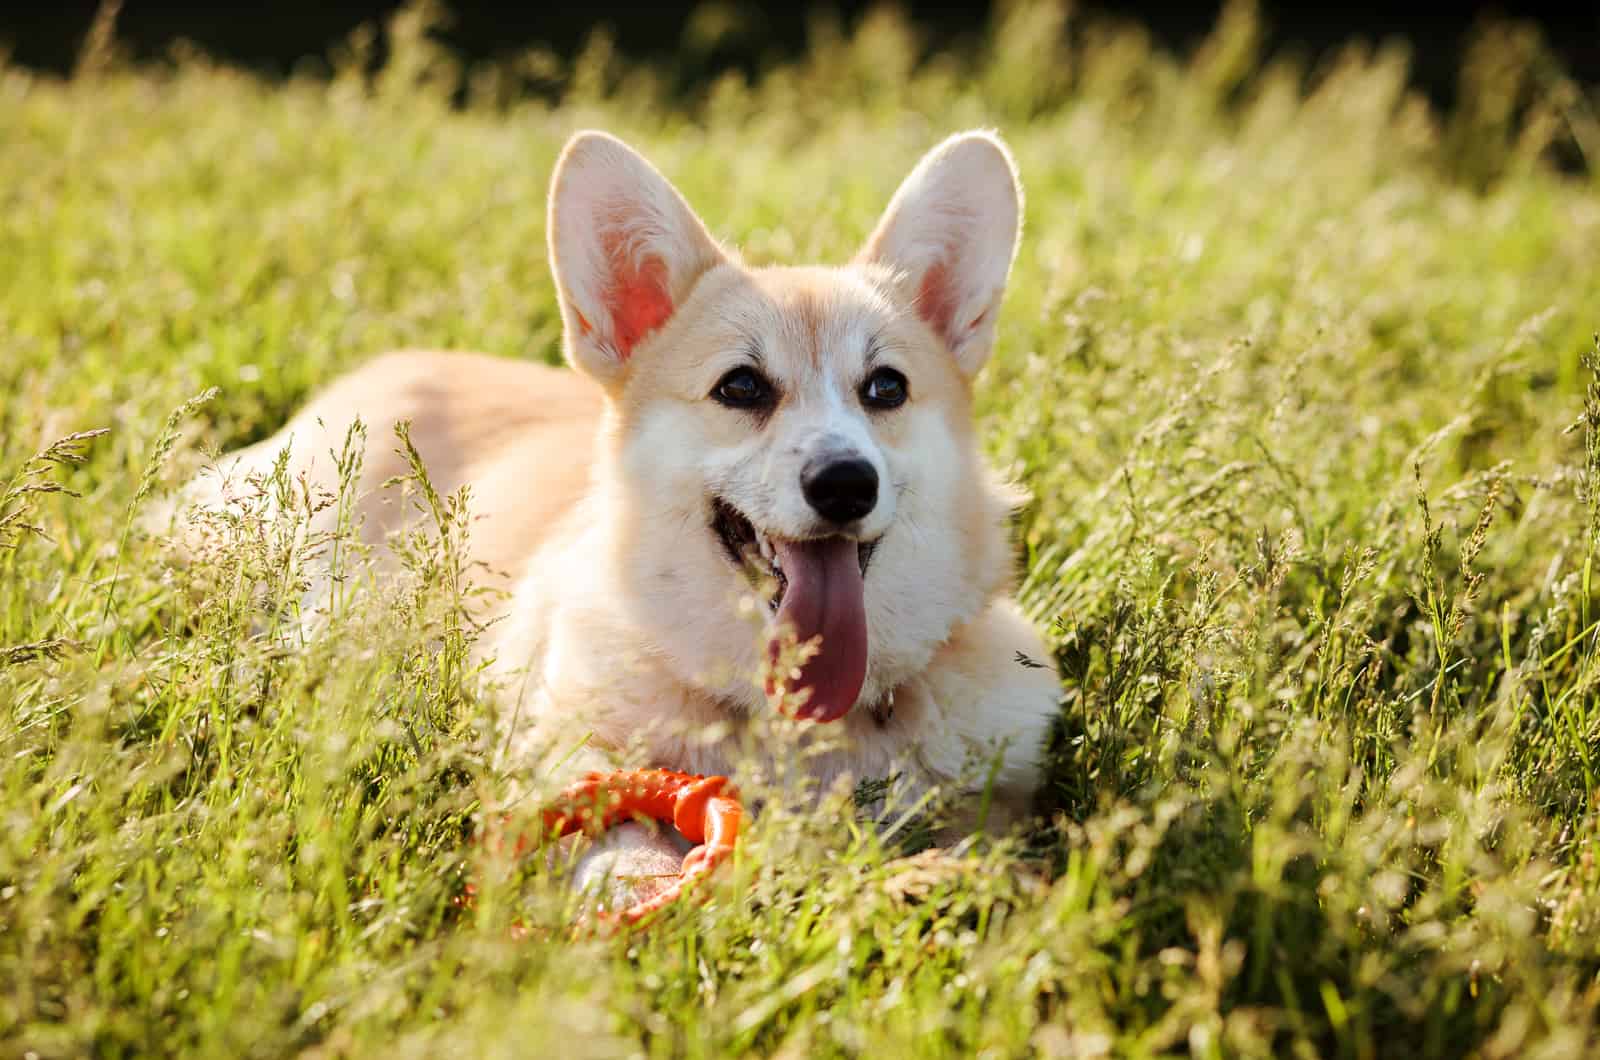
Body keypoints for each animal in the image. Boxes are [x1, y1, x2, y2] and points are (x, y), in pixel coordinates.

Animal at [184, 128, 1062, 903]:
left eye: (886, 388)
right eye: (741, 387)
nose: (846, 484)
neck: (787, 720)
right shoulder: (560, 746)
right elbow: (619, 832)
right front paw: (644, 894)